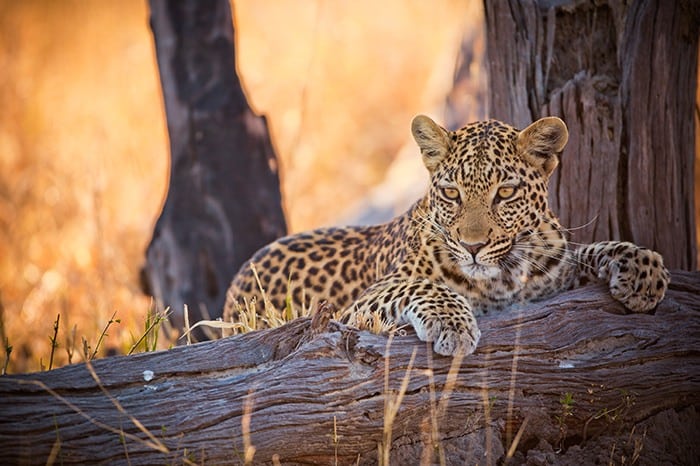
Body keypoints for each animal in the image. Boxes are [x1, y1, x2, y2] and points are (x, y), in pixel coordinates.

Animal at [221, 114, 668, 354]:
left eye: (505, 192)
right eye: (452, 193)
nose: (473, 247)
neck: (503, 279)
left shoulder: (554, 276)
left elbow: (585, 250)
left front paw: (642, 270)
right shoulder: (355, 308)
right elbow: (420, 285)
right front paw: (453, 325)